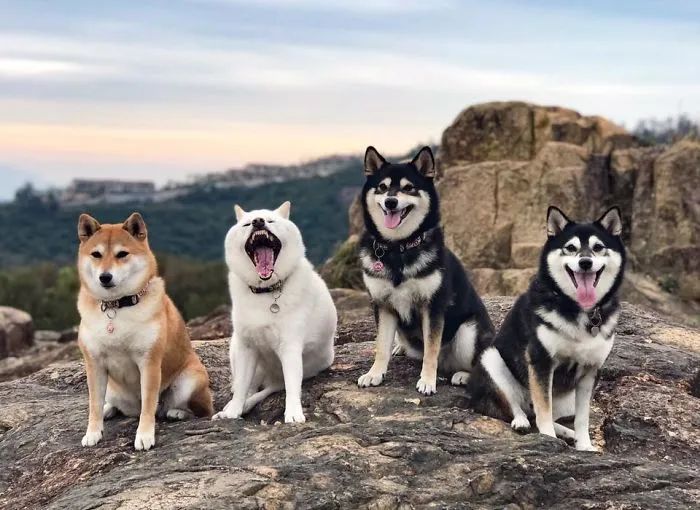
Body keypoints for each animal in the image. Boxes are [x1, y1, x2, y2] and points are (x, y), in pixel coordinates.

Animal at [76, 211, 213, 450]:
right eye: (96, 254)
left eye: (122, 254)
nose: (105, 277)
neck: (117, 306)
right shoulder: (94, 364)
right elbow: (94, 403)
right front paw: (93, 432)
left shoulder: (149, 362)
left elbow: (148, 405)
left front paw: (145, 435)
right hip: (112, 388)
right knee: (114, 404)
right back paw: (109, 409)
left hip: (189, 381)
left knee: (197, 410)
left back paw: (177, 412)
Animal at [213, 202, 336, 422]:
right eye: (246, 224)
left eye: (270, 220)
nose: (258, 221)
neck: (266, 291)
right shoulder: (247, 348)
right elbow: (241, 387)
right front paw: (233, 411)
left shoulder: (290, 347)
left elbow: (292, 387)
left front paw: (294, 414)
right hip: (240, 353)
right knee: (248, 388)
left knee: (271, 388)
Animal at [356, 145, 492, 396]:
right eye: (382, 187)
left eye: (409, 188)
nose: (391, 202)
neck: (397, 248)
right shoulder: (383, 304)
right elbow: (381, 346)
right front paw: (374, 374)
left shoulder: (433, 305)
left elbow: (431, 349)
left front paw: (428, 380)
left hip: (468, 332)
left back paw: (462, 375)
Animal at [468, 205, 628, 452]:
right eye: (570, 248)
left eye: (598, 247)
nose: (585, 262)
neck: (578, 309)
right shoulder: (541, 361)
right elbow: (543, 408)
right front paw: (548, 438)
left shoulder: (591, 370)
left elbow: (582, 418)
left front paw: (584, 445)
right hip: (493, 360)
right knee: (519, 406)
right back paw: (521, 421)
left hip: (567, 397)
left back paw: (567, 432)